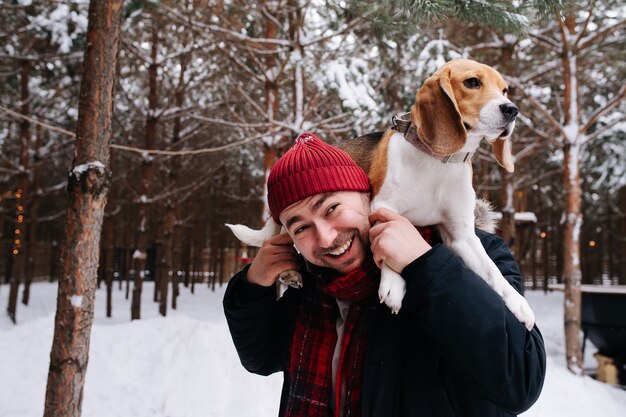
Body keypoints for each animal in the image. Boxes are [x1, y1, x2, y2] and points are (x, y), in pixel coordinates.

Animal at [342, 58, 532, 330]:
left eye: (504, 90)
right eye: (472, 82)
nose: (512, 110)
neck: (440, 162)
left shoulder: (461, 235)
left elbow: (492, 270)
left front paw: (517, 302)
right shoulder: (384, 207)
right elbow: (386, 245)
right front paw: (393, 285)